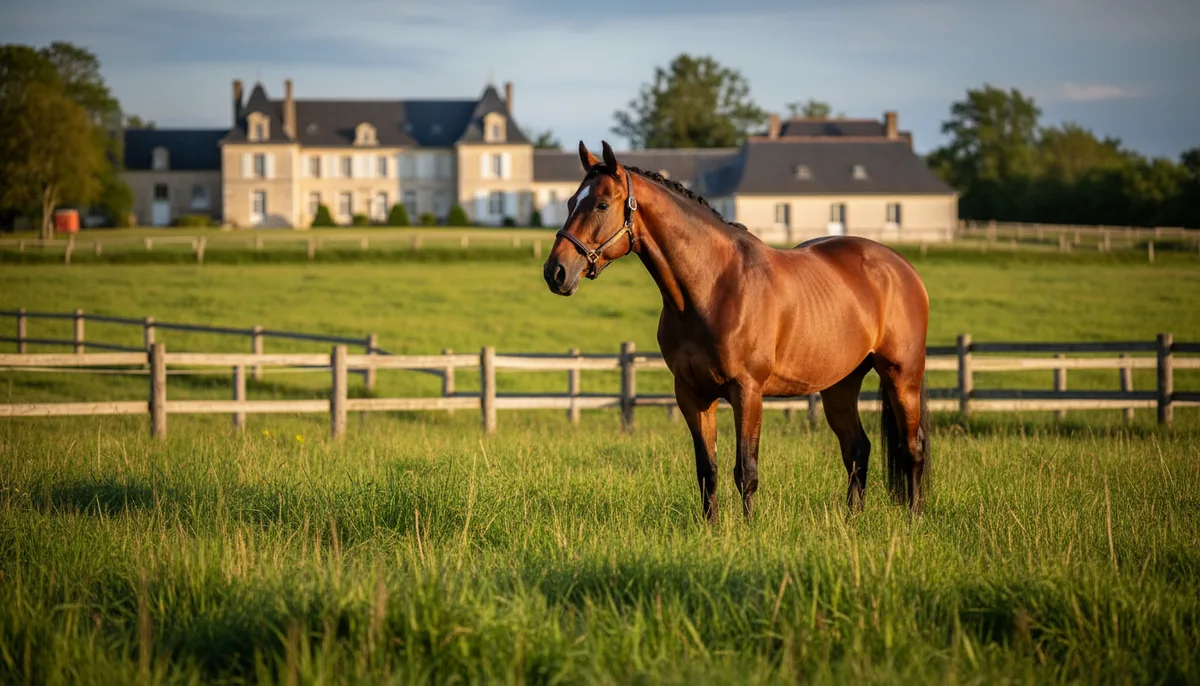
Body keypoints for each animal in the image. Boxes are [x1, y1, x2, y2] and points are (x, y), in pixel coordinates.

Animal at [543, 140, 931, 523]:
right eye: (570, 202)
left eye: (601, 204)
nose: (556, 272)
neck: (712, 286)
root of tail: (901, 267)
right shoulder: (692, 394)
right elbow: (707, 469)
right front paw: (711, 528)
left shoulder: (747, 391)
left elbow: (746, 469)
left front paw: (748, 529)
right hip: (840, 385)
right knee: (857, 448)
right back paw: (852, 521)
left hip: (902, 378)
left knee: (912, 448)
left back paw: (913, 519)